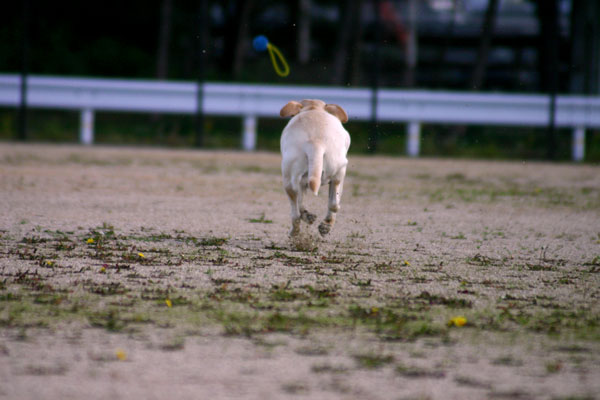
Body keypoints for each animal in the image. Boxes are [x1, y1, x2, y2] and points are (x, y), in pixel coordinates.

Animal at [282, 99, 352, 236]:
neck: (313, 108)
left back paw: (296, 229)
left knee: (295, 212)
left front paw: (307, 216)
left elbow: (301, 203)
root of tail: (315, 142)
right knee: (334, 204)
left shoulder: (300, 181)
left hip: (289, 177)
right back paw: (325, 226)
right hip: (339, 171)